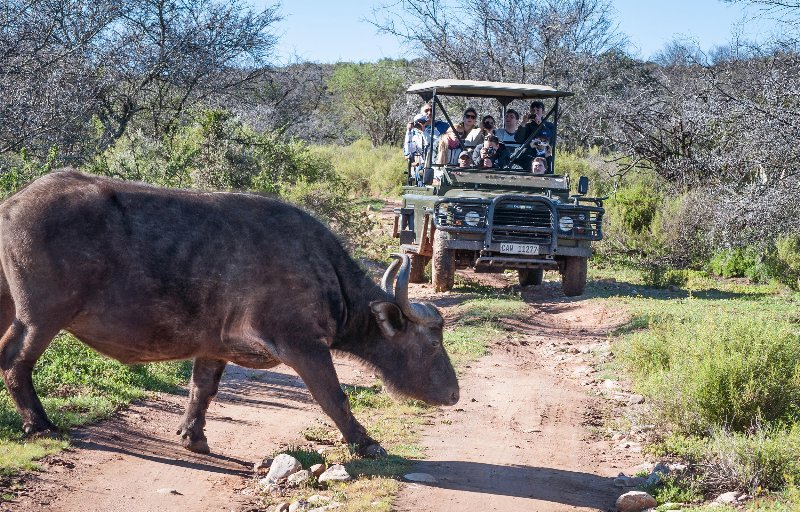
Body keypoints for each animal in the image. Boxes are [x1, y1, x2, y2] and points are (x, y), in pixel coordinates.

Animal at [0, 171, 460, 456]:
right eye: (432, 342)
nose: (454, 394)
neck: (321, 269)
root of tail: (12, 203)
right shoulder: (304, 346)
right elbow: (334, 396)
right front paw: (366, 443)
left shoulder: (213, 347)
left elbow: (201, 390)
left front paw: (193, 437)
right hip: (40, 318)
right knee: (14, 360)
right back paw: (39, 424)